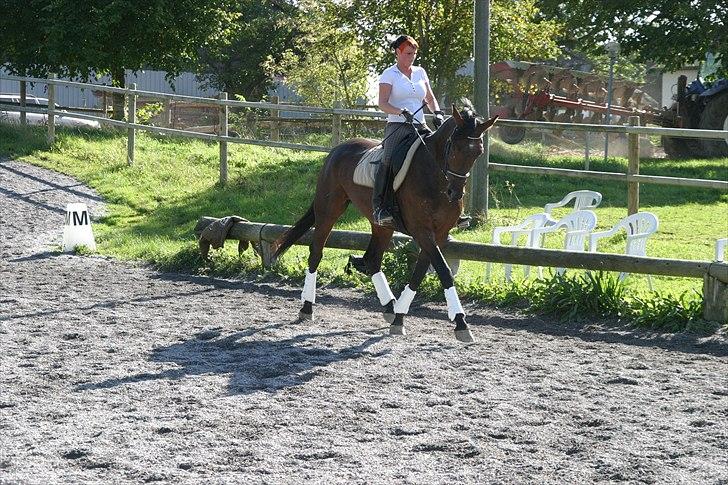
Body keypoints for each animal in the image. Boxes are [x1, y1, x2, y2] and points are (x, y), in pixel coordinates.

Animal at [270, 104, 498, 342]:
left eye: (478, 152)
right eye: (454, 147)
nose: (455, 192)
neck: (434, 176)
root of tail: (337, 149)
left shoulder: (440, 234)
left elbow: (420, 273)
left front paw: (400, 318)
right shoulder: (422, 231)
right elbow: (443, 271)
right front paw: (461, 322)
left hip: (381, 225)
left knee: (372, 260)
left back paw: (390, 307)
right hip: (329, 210)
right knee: (316, 252)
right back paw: (307, 307)